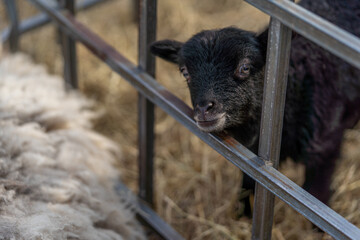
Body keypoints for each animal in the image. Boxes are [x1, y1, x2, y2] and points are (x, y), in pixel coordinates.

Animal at [150, 0, 360, 211]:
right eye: (185, 72)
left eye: (245, 67)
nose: (203, 109)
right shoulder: (252, 155)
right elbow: (249, 186)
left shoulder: (325, 149)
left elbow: (317, 195)